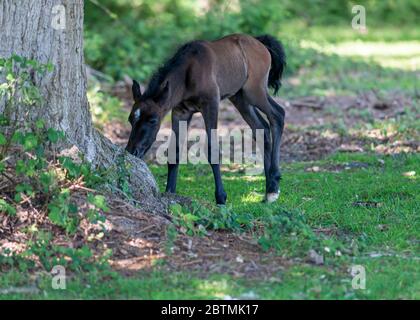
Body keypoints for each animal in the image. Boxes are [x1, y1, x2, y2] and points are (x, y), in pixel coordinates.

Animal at [126, 33, 288, 204]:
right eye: (130, 120)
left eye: (153, 120)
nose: (132, 151)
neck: (188, 72)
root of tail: (260, 44)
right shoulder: (180, 112)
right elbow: (174, 150)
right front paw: (170, 192)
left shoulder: (211, 104)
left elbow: (212, 149)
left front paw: (221, 197)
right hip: (240, 97)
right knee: (261, 128)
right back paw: (269, 189)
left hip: (254, 91)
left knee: (278, 114)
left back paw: (273, 188)